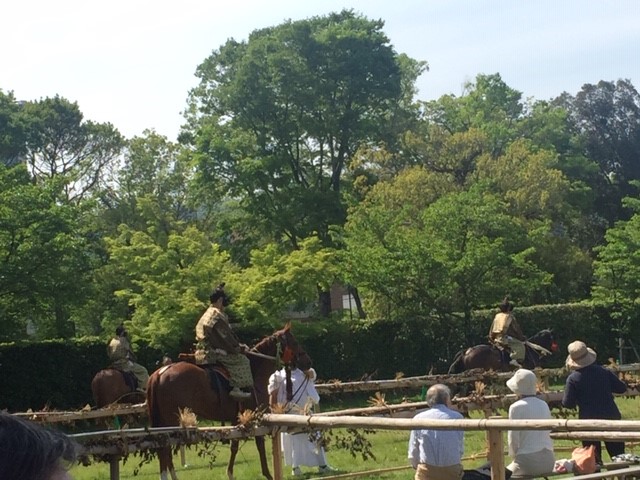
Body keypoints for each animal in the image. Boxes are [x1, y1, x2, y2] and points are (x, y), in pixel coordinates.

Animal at [146, 322, 306, 480]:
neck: (255, 371)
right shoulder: (255, 417)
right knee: (165, 448)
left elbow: (234, 446)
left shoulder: (238, 419)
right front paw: (266, 474)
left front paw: (230, 472)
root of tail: (160, 373)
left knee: (164, 449)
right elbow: (259, 444)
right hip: (170, 420)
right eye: (295, 342)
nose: (307, 360)